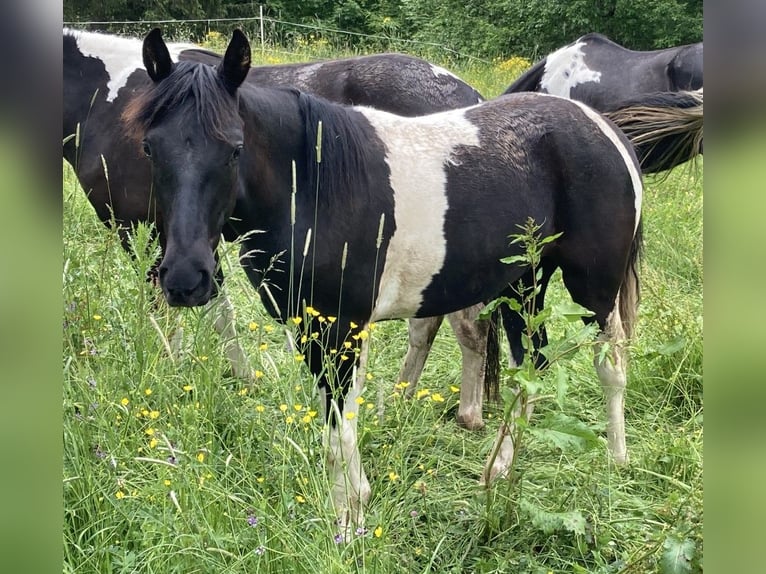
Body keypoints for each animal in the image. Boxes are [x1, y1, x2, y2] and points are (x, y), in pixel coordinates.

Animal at [126, 29, 648, 536]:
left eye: (235, 149)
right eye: (149, 147)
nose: (185, 278)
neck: (312, 186)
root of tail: (605, 130)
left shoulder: (342, 328)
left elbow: (339, 428)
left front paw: (350, 517)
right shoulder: (310, 328)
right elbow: (334, 420)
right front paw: (350, 506)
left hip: (593, 291)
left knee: (611, 365)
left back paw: (616, 460)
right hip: (523, 287)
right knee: (530, 366)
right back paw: (499, 472)